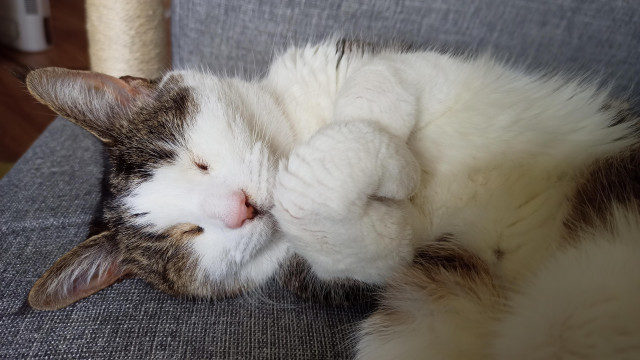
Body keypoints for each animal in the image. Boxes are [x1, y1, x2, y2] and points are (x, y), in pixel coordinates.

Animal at [25, 38, 640, 358]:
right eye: (187, 238)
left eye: (193, 160)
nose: (239, 208)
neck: (300, 130)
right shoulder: (338, 276)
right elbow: (361, 243)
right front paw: (391, 197)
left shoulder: (374, 61)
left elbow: (382, 82)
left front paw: (388, 157)